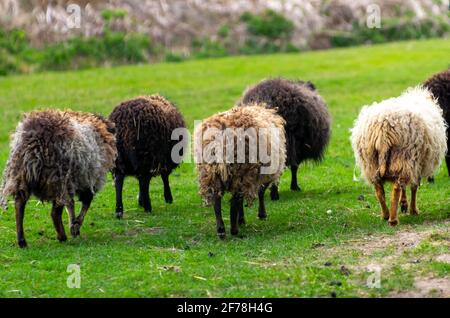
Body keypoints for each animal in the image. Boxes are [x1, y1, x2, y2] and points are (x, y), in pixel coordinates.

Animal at [0, 110, 118, 247]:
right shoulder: (89, 180)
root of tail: (36, 137)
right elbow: (85, 203)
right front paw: (75, 226)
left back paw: (22, 241)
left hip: (22, 176)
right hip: (59, 178)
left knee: (19, 206)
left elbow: (71, 205)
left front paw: (74, 225)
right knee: (55, 212)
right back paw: (62, 237)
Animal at [194, 103, 286, 237]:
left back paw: (221, 230)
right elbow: (260, 192)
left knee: (217, 199)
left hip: (211, 173)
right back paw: (234, 229)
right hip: (241, 171)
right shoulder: (264, 174)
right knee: (235, 201)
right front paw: (261, 214)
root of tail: (221, 140)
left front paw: (242, 219)